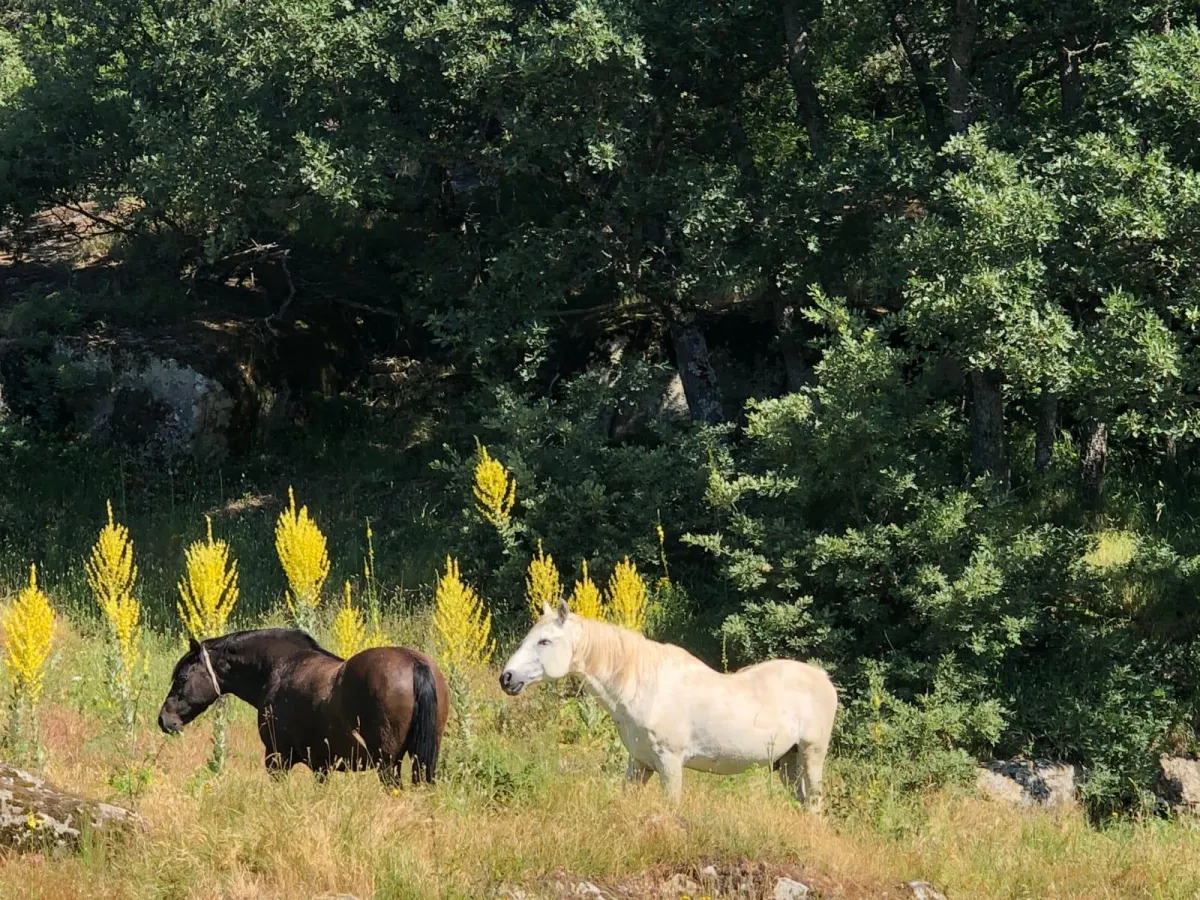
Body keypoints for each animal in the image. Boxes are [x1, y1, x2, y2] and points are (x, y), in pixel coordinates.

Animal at [158, 628, 449, 785]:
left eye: (181, 678)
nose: (164, 720)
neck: (279, 667)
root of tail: (414, 663)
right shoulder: (322, 766)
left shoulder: (277, 758)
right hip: (422, 760)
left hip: (388, 763)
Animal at [499, 600, 838, 808]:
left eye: (544, 641)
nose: (507, 678)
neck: (645, 686)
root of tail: (824, 679)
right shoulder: (640, 762)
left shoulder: (670, 762)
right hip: (789, 761)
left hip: (811, 754)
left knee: (815, 802)